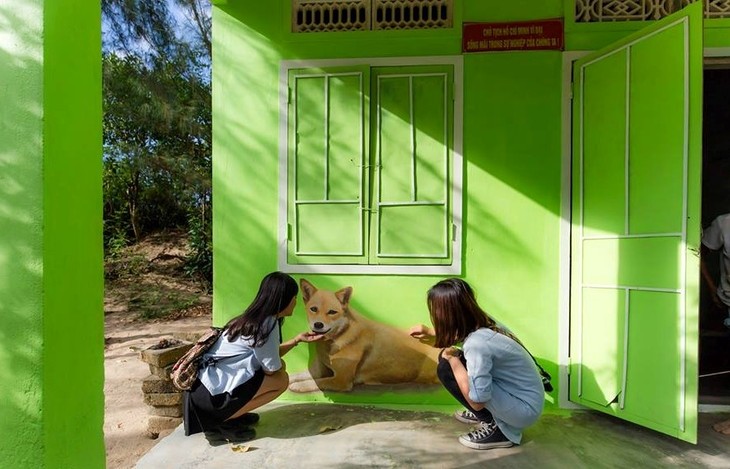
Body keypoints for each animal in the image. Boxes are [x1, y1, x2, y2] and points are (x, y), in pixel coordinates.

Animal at [288, 278, 438, 392]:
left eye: (332, 312)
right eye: (313, 309)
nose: (318, 324)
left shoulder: (341, 380)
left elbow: (317, 382)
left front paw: (298, 386)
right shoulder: (319, 370)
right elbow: (298, 374)